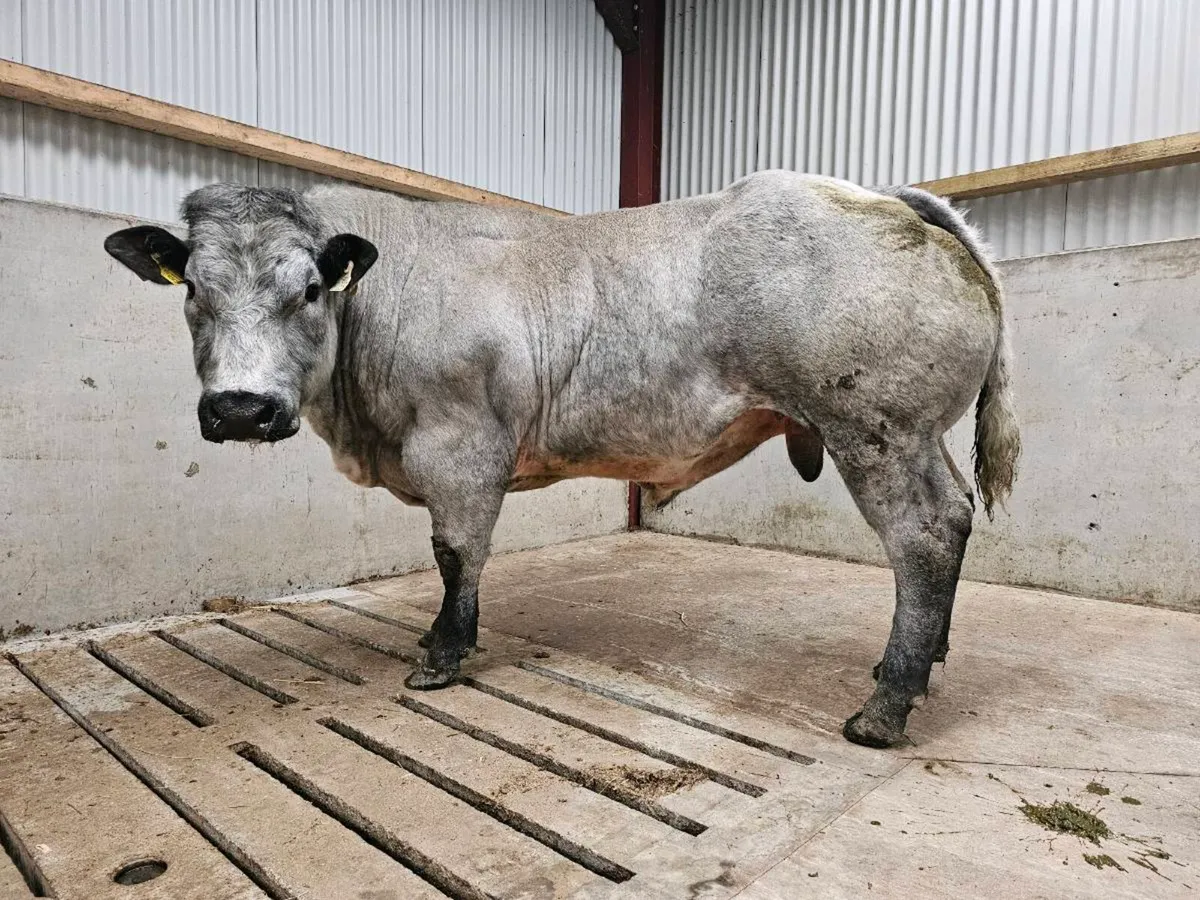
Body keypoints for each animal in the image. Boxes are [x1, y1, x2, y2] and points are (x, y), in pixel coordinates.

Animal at [104, 171, 1020, 748]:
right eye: (194, 292)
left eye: (306, 290)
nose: (240, 408)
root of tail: (878, 194)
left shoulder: (460, 446)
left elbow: (456, 553)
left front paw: (443, 654)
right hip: (916, 436)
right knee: (955, 517)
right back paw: (920, 661)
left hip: (877, 430)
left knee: (925, 535)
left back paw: (887, 702)